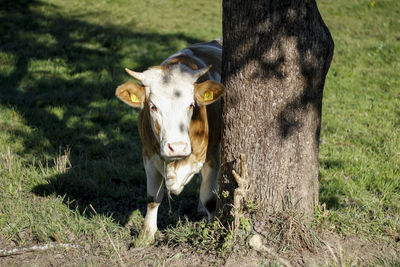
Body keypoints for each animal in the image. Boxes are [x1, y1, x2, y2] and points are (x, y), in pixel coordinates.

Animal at [115, 39, 225, 243]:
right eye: (153, 106)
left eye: (191, 105)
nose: (178, 147)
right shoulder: (148, 156)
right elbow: (153, 197)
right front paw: (146, 235)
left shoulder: (212, 155)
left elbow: (210, 199)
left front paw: (211, 228)